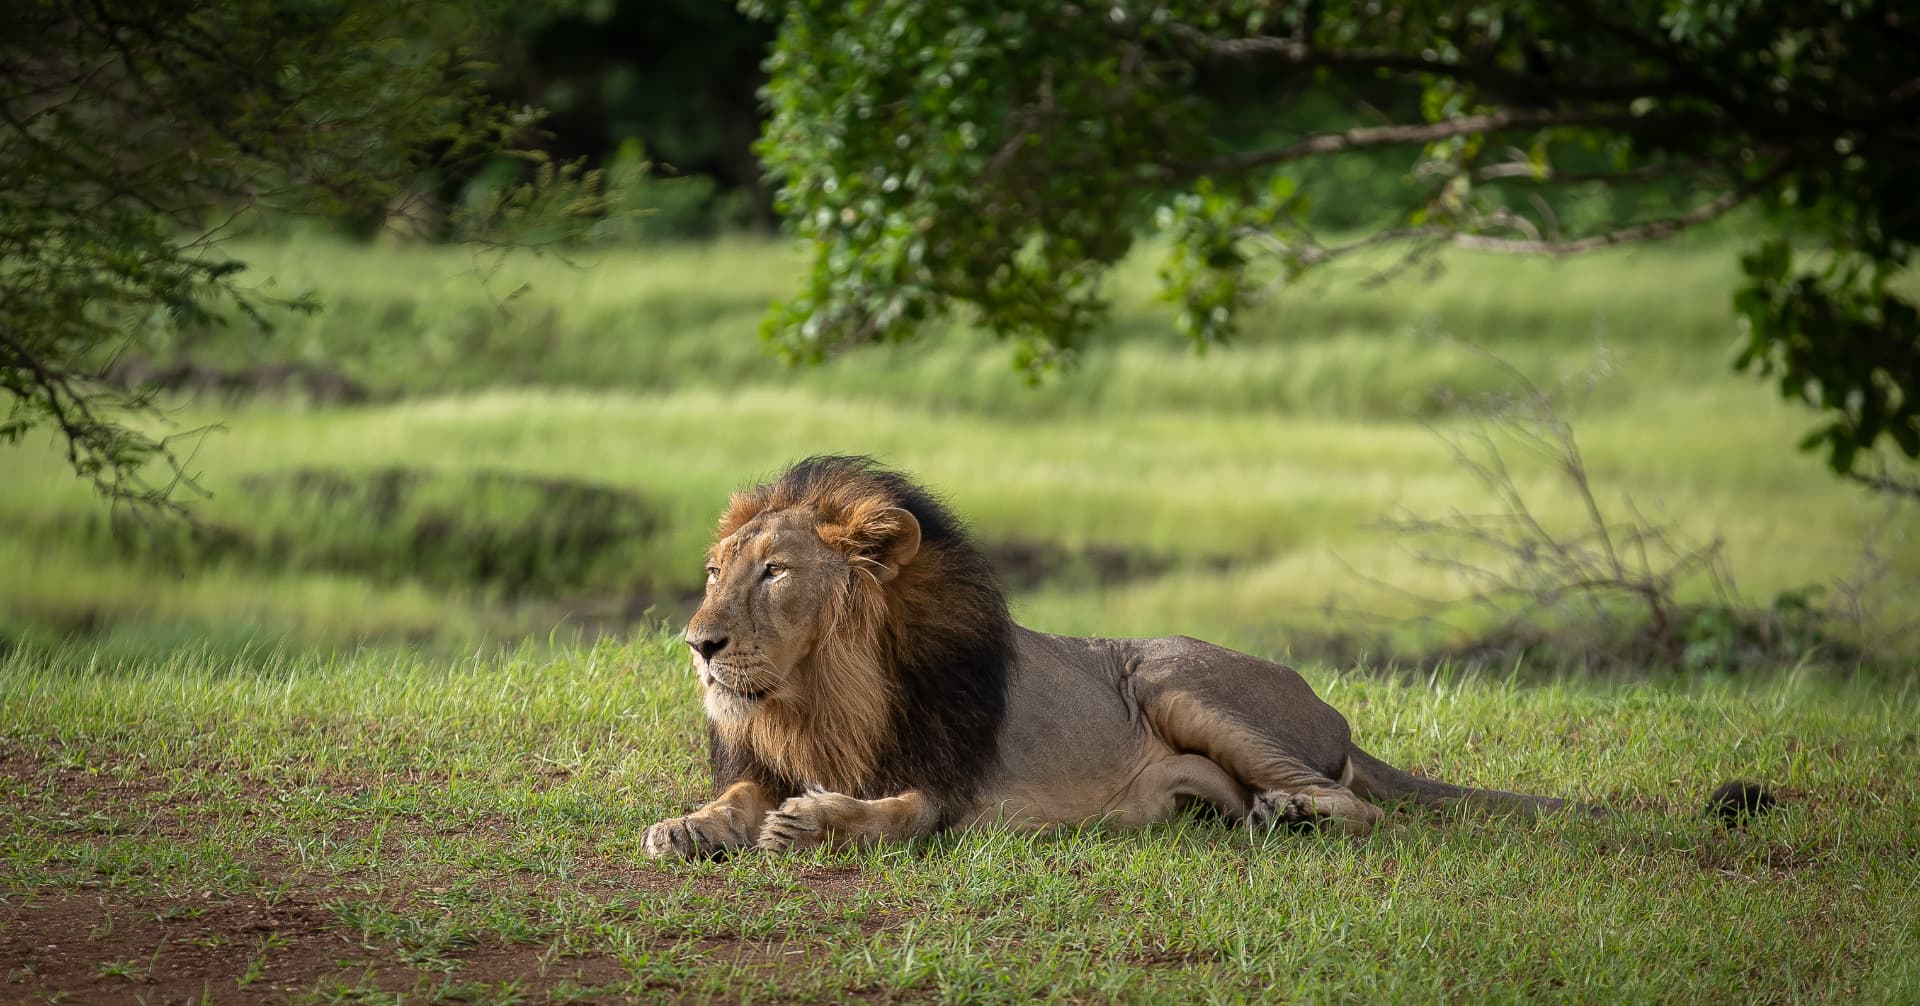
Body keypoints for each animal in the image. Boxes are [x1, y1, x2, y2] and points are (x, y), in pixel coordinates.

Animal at [643, 456, 1754, 858]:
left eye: (776, 573)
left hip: (1174, 676)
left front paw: (814, 821)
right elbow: (734, 794)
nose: (699, 643)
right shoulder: (769, 749)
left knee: (1360, 804)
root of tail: (1329, 705)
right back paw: (1256, 815)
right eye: (715, 570)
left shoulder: (954, 788)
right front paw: (690, 824)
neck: (823, 694)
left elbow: (896, 812)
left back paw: (1294, 815)